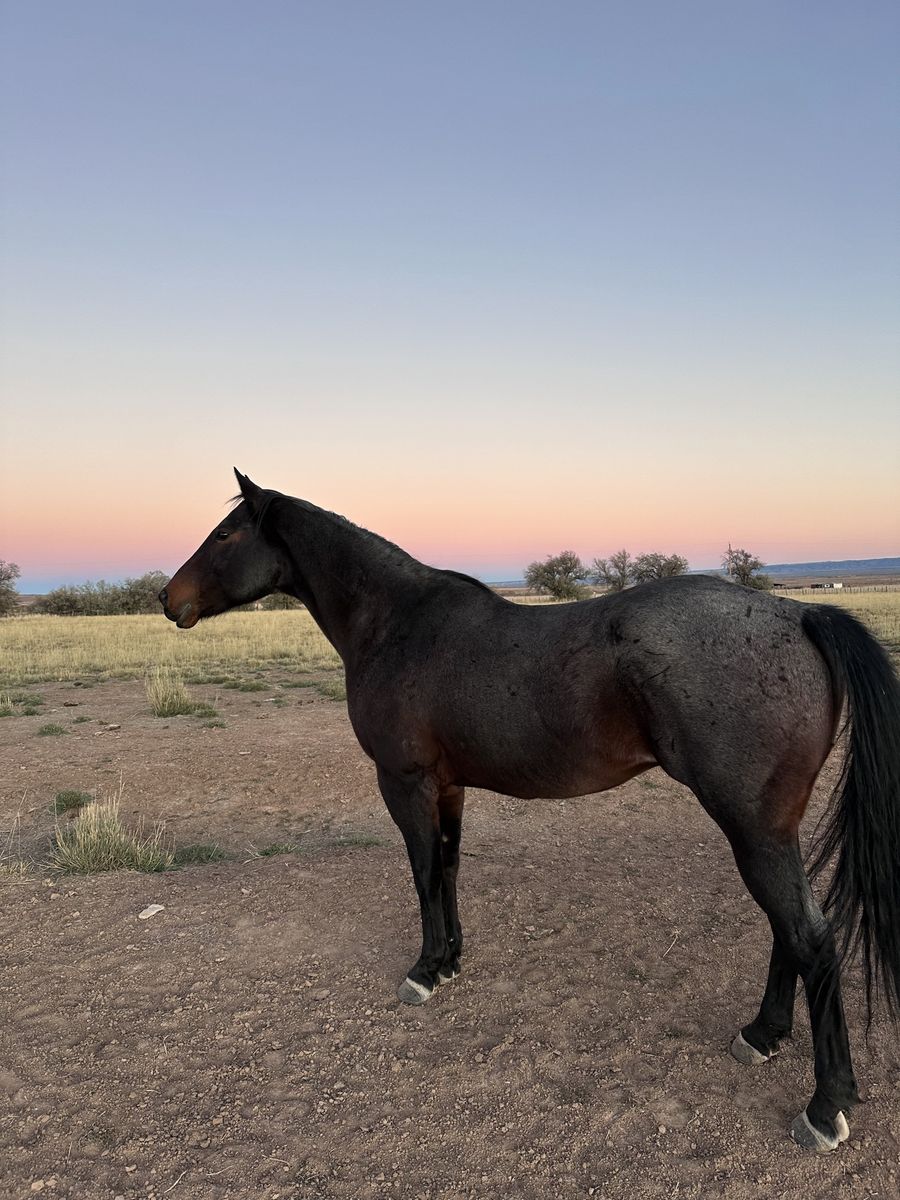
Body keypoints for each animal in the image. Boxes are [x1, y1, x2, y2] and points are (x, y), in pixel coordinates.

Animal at [159, 470, 900, 1153]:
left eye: (226, 535)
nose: (169, 598)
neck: (397, 623)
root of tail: (797, 616)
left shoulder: (404, 784)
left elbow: (422, 876)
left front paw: (423, 973)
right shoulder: (448, 789)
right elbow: (448, 870)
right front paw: (450, 960)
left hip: (751, 827)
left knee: (809, 936)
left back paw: (824, 1107)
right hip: (770, 827)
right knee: (788, 930)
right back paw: (761, 1035)